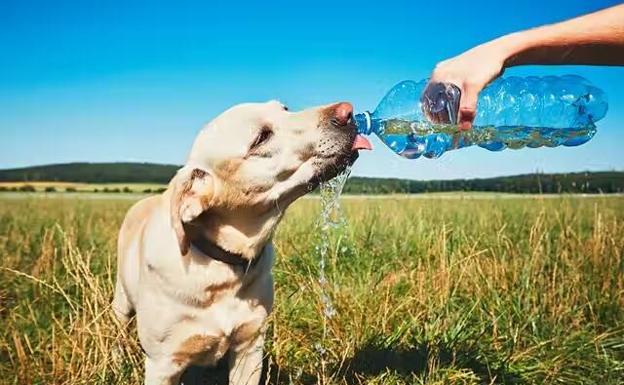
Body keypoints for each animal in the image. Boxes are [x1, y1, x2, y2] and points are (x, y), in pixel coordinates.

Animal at [112, 100, 370, 384]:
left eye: (285, 108)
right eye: (262, 137)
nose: (347, 111)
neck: (222, 266)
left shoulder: (250, 347)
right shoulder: (163, 363)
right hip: (121, 302)